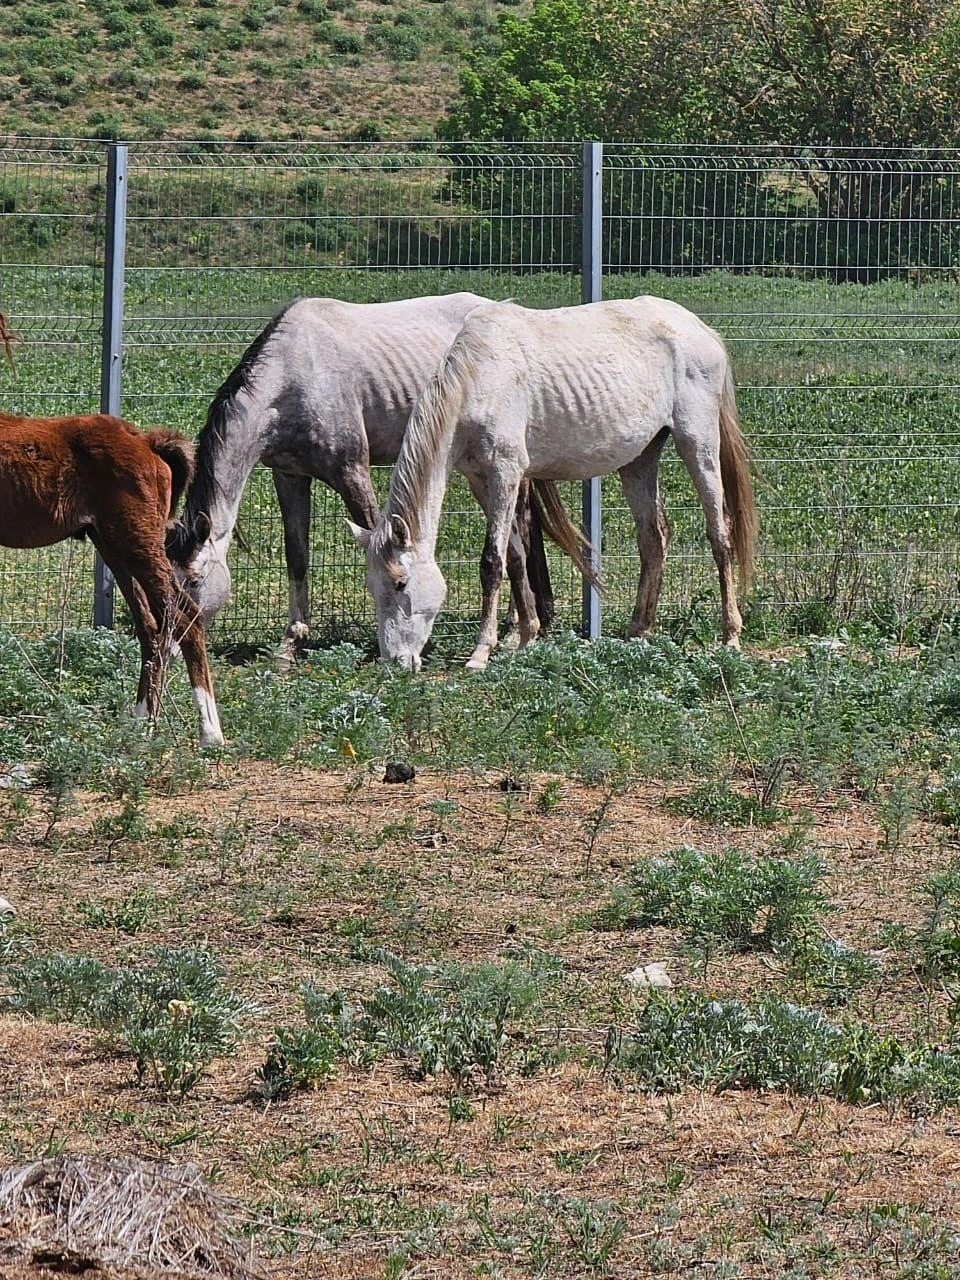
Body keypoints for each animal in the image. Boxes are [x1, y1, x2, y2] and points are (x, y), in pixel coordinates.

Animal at [0, 409, 225, 747]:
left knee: (185, 617)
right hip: (113, 547)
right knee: (151, 626)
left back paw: (209, 733)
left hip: (136, 542)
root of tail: (147, 443)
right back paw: (141, 723)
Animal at [167, 289, 552, 650]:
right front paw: (292, 642)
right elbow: (297, 556)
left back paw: (514, 628)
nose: (172, 642)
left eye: (196, 580)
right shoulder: (290, 476)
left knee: (520, 532)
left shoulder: (351, 472)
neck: (294, 375)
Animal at [350, 291, 757, 670]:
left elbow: (491, 561)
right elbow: (515, 555)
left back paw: (730, 637)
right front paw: (526, 636)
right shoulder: (481, 480)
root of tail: (699, 328)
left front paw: (482, 651)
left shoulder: (505, 472)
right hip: (640, 459)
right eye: (372, 586)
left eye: (401, 582)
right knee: (653, 539)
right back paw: (638, 632)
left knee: (719, 533)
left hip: (698, 442)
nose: (394, 662)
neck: (480, 377)